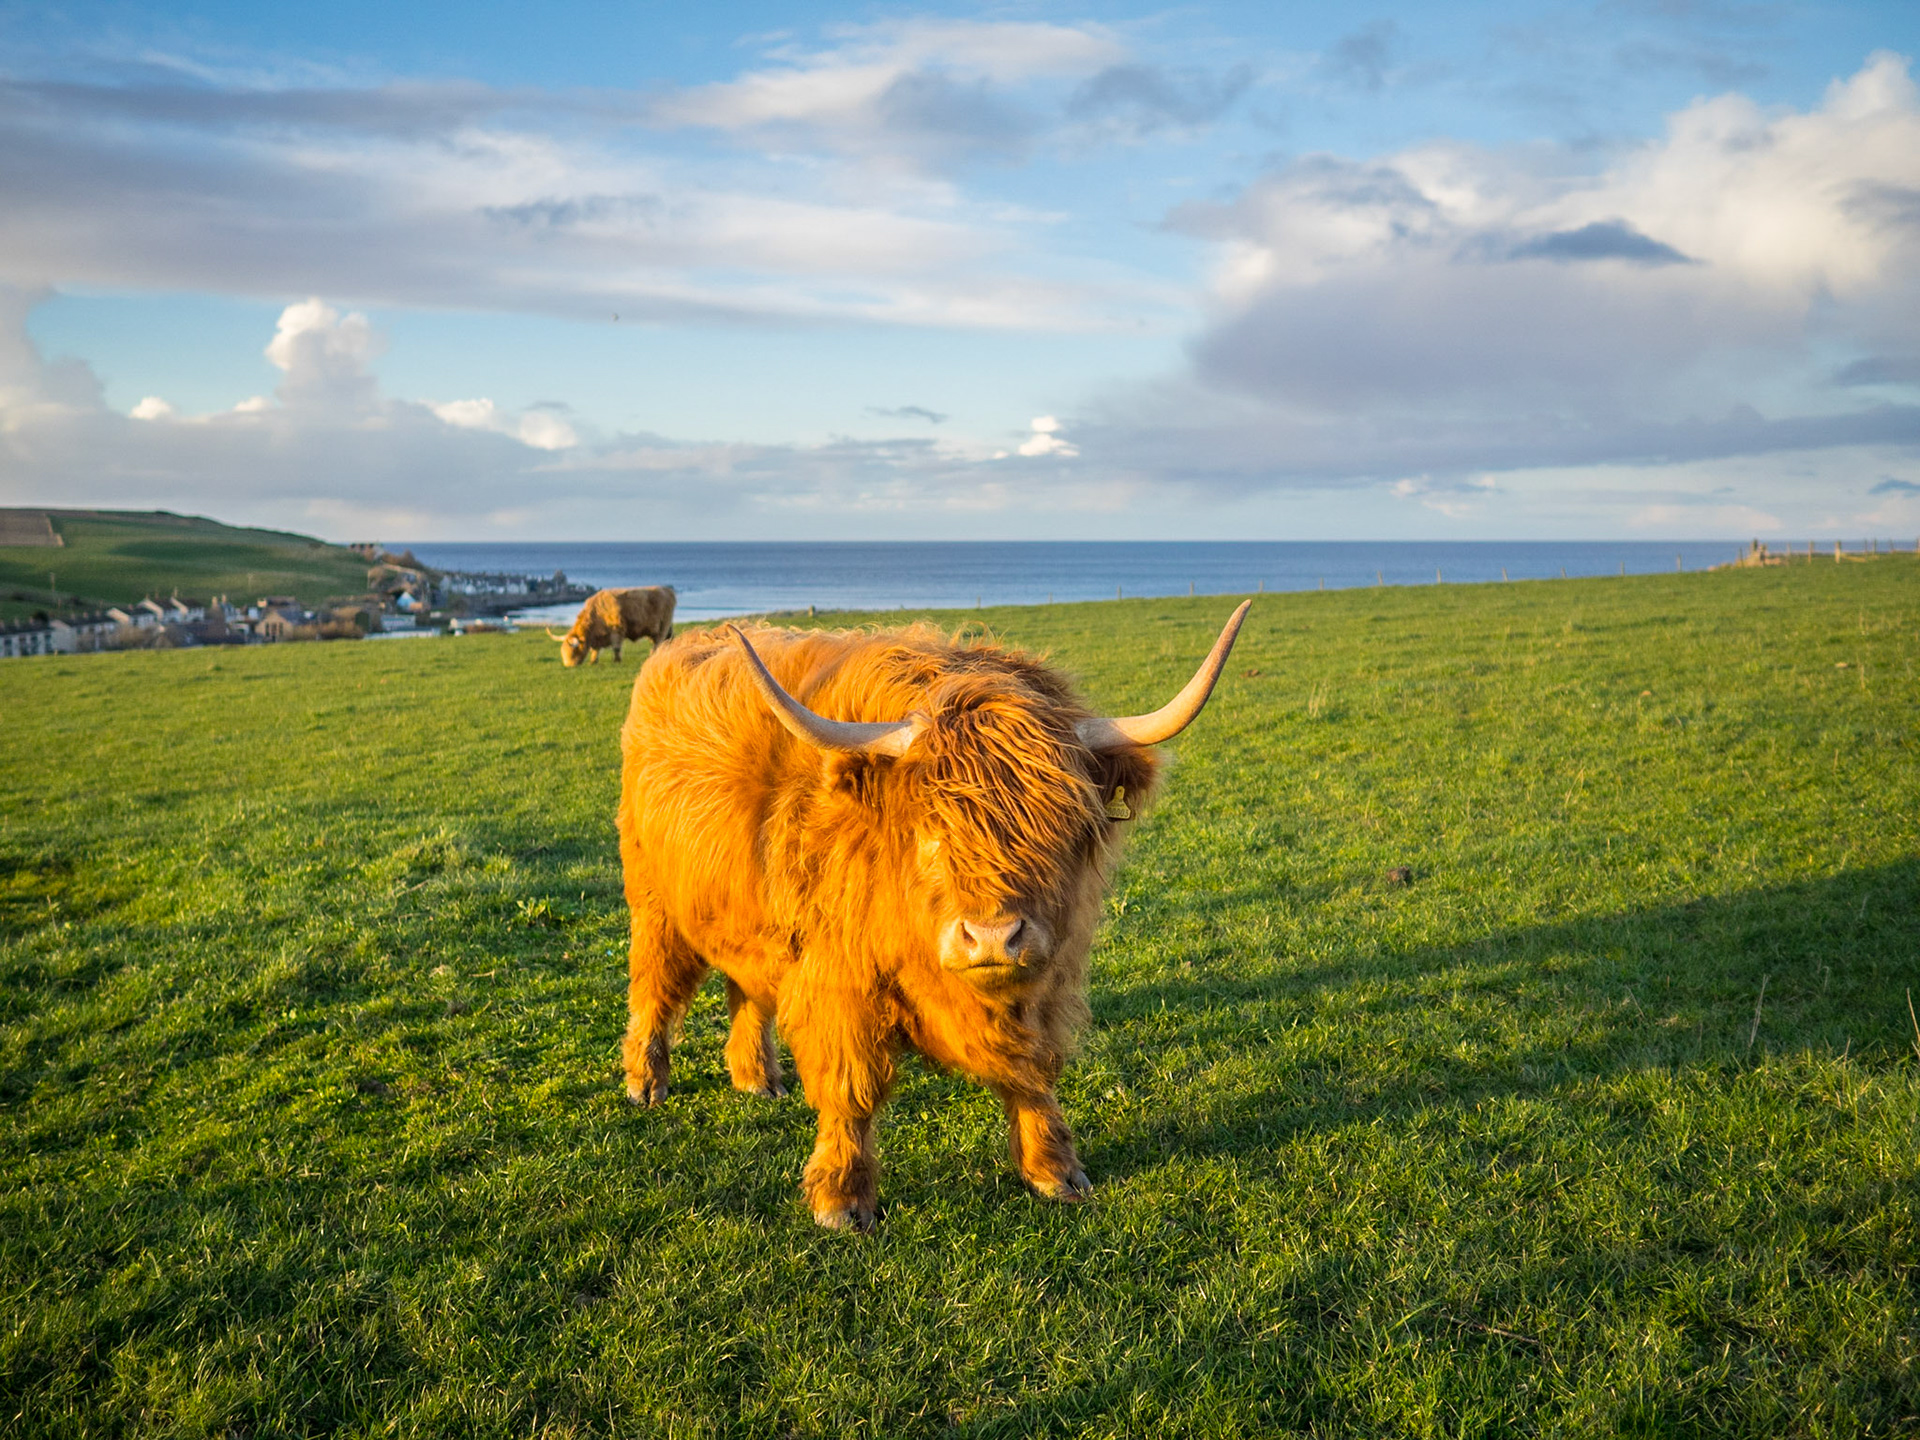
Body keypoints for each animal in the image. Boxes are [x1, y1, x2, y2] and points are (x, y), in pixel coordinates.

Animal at [617, 601, 1250, 1230]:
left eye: (1060, 824)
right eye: (931, 829)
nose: (993, 938)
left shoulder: (1048, 978)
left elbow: (1035, 1068)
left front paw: (1055, 1170)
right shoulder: (841, 982)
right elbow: (852, 1086)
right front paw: (841, 1198)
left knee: (746, 989)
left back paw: (755, 1079)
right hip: (655, 902)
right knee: (655, 988)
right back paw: (646, 1083)